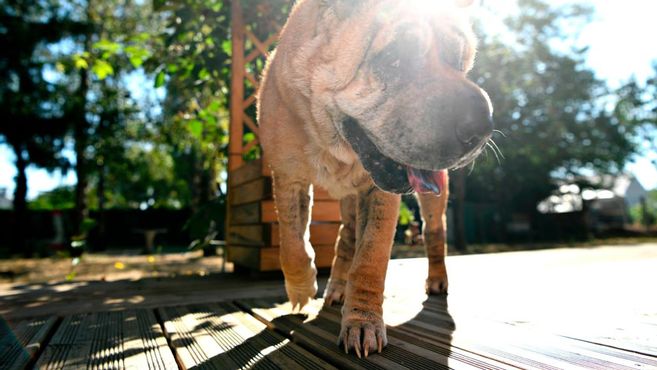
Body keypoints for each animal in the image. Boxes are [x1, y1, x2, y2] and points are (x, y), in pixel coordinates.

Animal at [256, 0, 492, 358]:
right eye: (395, 58)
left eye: (457, 60)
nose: (482, 124)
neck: (335, 145)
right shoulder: (287, 176)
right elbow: (291, 242)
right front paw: (301, 287)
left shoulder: (379, 194)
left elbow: (371, 257)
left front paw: (362, 322)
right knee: (345, 236)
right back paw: (336, 287)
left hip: (432, 200)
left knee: (434, 232)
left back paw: (437, 279)